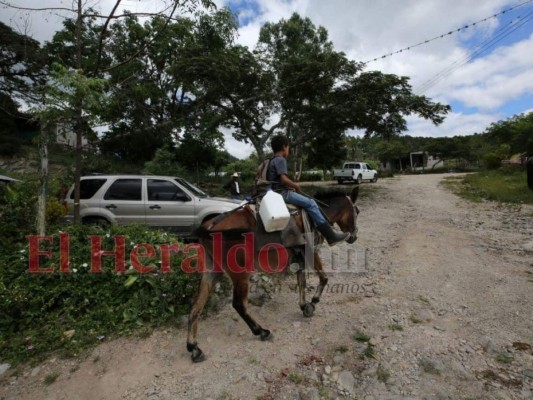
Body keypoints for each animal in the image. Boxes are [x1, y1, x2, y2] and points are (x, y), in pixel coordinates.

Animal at [186, 188, 358, 362]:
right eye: (356, 211)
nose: (354, 237)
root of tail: (208, 227)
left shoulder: (299, 257)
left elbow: (301, 282)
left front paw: (304, 305)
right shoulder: (311, 251)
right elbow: (323, 278)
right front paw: (313, 301)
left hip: (212, 271)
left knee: (196, 305)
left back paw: (193, 347)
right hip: (240, 274)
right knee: (239, 304)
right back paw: (261, 331)